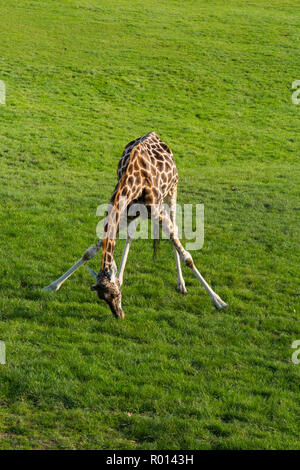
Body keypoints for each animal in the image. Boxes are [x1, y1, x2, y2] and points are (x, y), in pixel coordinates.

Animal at [43, 130, 227, 318]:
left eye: (115, 294)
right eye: (102, 297)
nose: (119, 315)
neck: (134, 181)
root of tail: (156, 134)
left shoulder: (155, 209)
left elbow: (187, 257)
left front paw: (218, 301)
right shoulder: (125, 211)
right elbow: (90, 251)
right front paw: (53, 285)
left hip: (171, 192)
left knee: (174, 230)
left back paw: (181, 284)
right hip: (139, 211)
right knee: (131, 235)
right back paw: (123, 276)